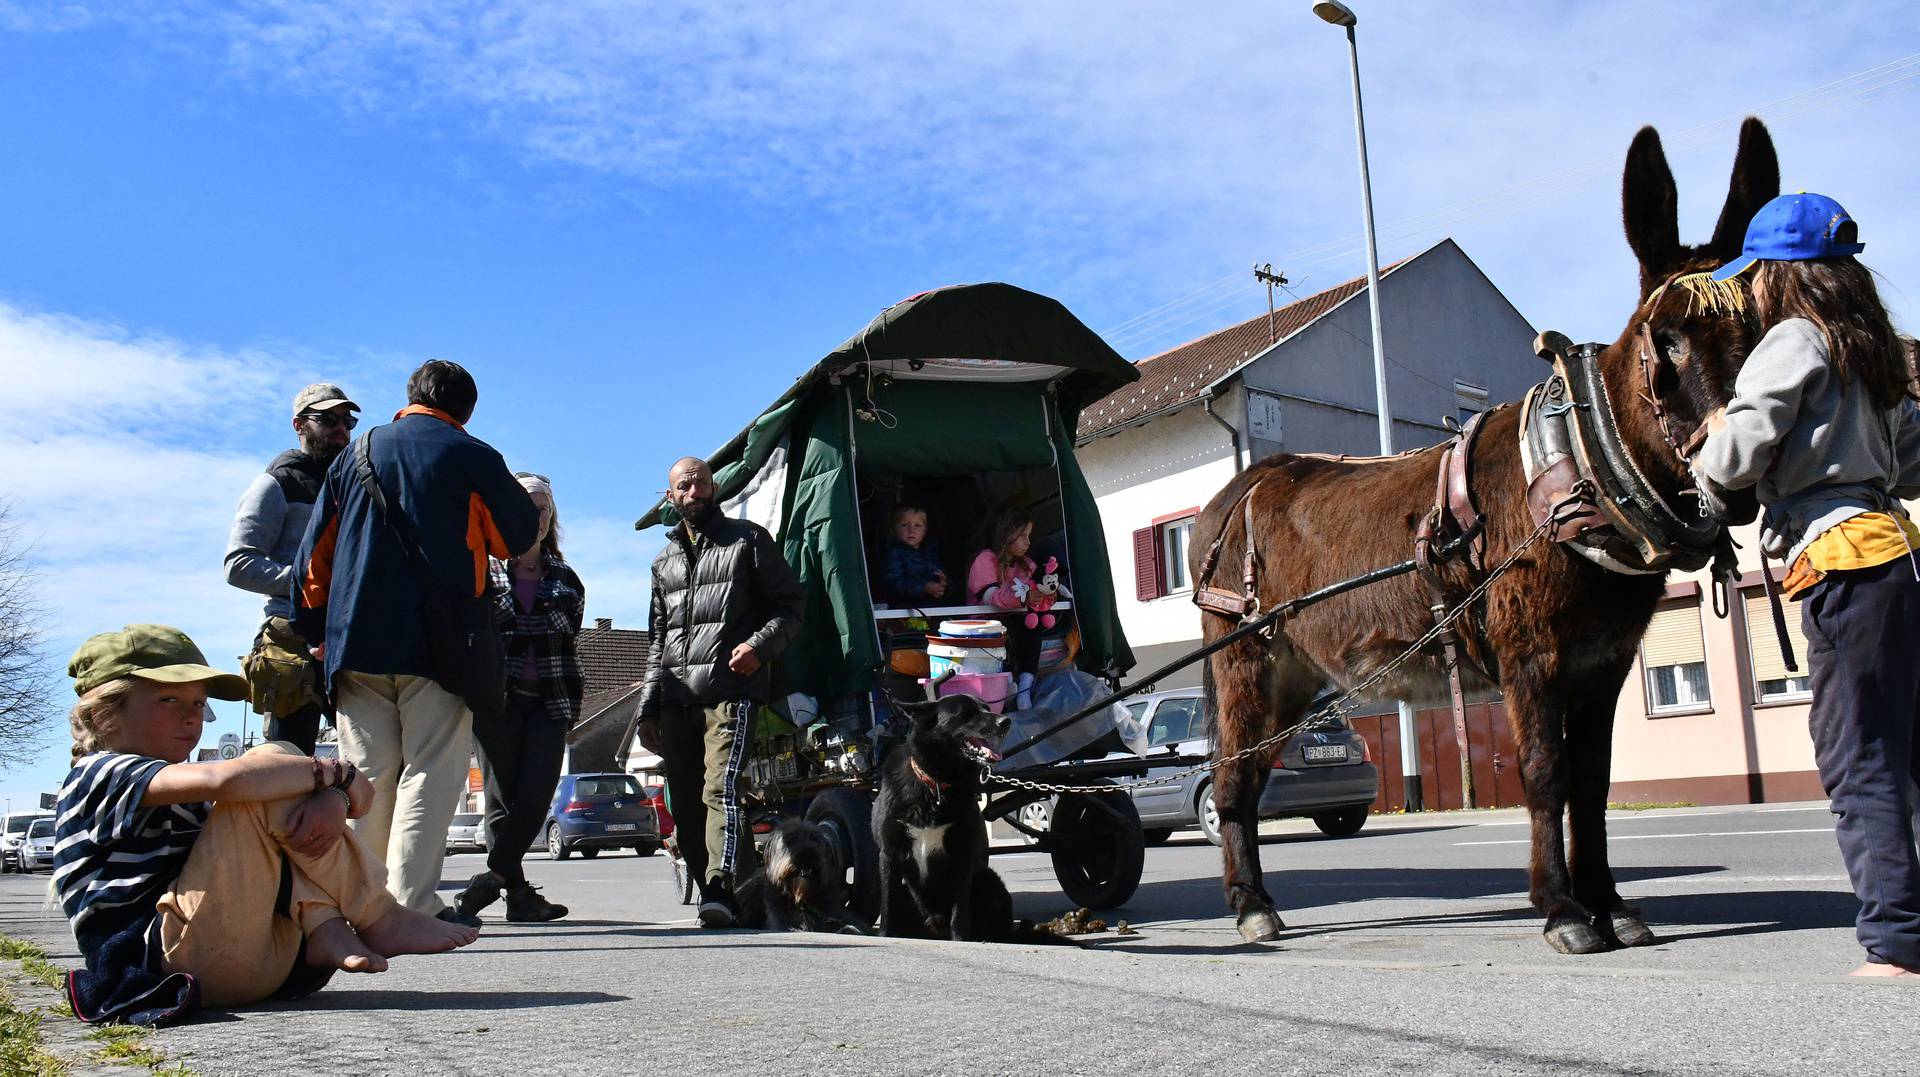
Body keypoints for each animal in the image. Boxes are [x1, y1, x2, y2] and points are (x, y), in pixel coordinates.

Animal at [729, 821, 867, 933]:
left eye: (814, 839)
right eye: (791, 839)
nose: (807, 854)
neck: (801, 897)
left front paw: (850, 929)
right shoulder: (780, 921)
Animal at [879, 691, 1036, 936]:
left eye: (986, 707)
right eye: (967, 713)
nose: (1006, 721)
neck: (936, 783)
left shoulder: (962, 853)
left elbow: (959, 911)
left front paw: (961, 939)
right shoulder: (889, 853)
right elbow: (888, 906)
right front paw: (884, 935)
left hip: (988, 879)